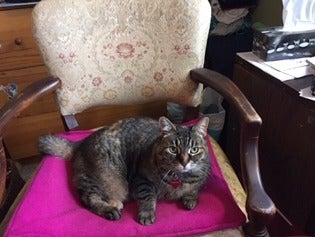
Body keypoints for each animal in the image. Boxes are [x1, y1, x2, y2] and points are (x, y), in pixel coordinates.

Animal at [38, 116, 211, 226]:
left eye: (194, 149)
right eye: (173, 149)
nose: (184, 162)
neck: (180, 177)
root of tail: (80, 143)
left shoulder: (201, 178)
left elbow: (194, 189)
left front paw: (190, 198)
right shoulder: (140, 179)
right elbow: (148, 197)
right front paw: (147, 214)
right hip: (102, 180)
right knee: (89, 198)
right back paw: (110, 209)